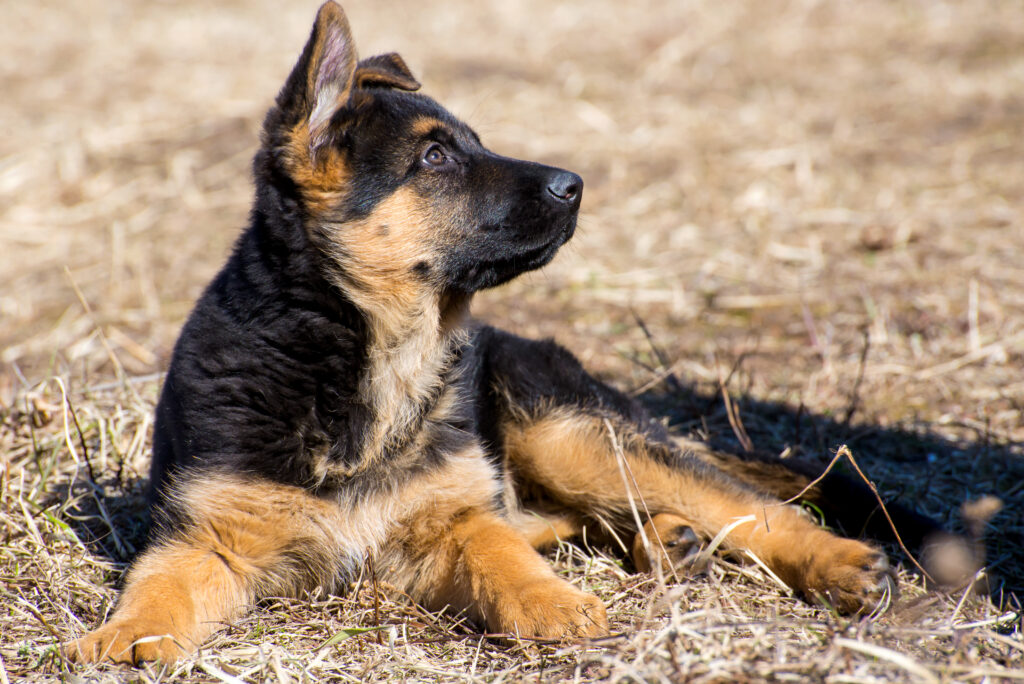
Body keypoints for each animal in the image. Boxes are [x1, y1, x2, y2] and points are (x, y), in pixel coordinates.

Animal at [68, 0, 913, 663]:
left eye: (468, 143)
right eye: (436, 157)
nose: (576, 185)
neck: (378, 354)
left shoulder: (459, 520)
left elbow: (502, 553)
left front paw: (557, 607)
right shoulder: (201, 538)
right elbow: (157, 585)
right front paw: (123, 637)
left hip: (567, 436)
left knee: (752, 504)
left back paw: (834, 562)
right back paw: (669, 543)